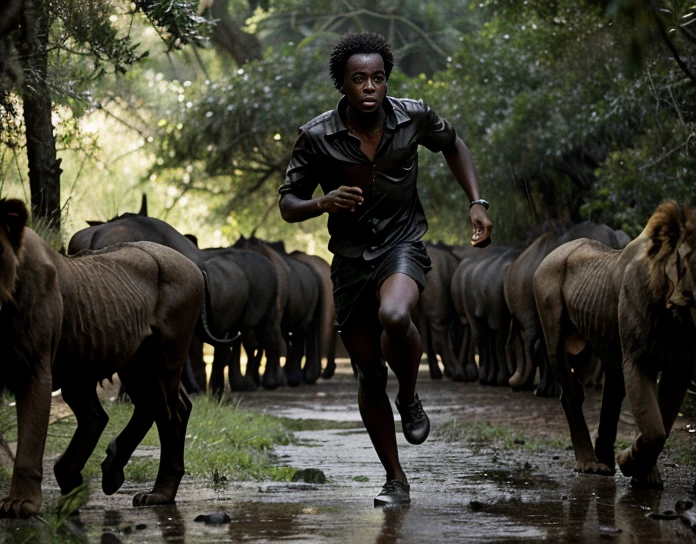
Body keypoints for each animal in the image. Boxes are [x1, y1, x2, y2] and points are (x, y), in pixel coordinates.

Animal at [0, 198, 205, 516]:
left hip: (162, 358)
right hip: (116, 363)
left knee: (169, 412)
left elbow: (30, 440)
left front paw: (22, 502)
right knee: (113, 413)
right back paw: (87, 474)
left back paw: (156, 493)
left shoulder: (35, 368)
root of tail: (188, 262)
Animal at [532, 201, 696, 488]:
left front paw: (645, 474)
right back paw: (591, 465)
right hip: (549, 304)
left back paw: (605, 462)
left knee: (610, 388)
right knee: (568, 383)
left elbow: (661, 421)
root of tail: (547, 256)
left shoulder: (679, 365)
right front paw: (629, 464)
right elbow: (654, 426)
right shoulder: (638, 358)